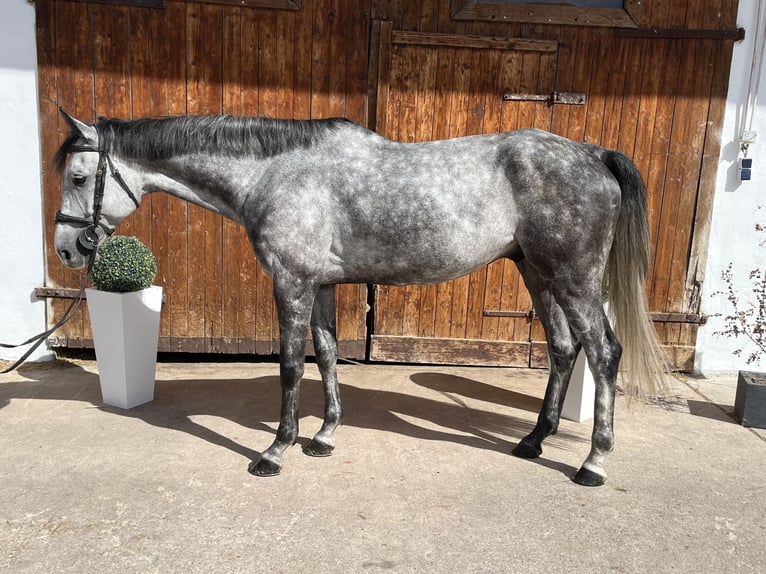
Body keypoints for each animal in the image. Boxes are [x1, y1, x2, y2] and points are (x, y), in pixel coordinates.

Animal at [53, 109, 667, 486]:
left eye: (79, 177)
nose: (65, 248)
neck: (276, 173)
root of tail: (592, 153)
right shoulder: (321, 285)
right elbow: (326, 356)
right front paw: (324, 436)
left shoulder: (292, 282)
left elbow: (291, 367)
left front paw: (275, 451)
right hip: (538, 274)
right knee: (564, 350)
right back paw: (535, 441)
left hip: (574, 279)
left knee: (603, 353)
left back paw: (593, 463)